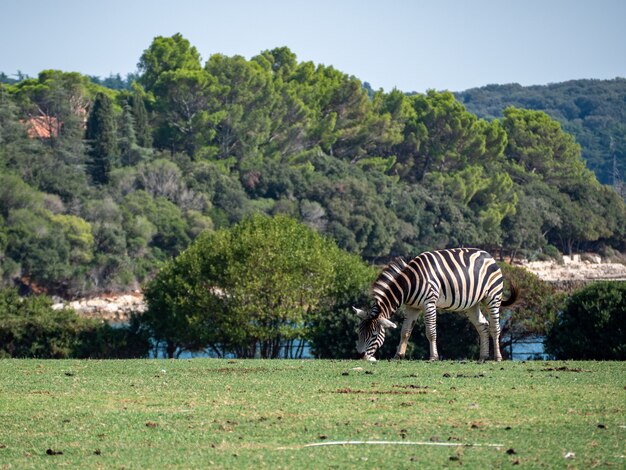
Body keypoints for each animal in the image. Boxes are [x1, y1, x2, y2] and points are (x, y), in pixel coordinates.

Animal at [354, 248, 516, 362]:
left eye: (374, 335)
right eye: (359, 333)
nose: (360, 356)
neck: (410, 284)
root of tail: (489, 255)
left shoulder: (429, 303)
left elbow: (431, 332)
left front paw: (433, 357)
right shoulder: (412, 307)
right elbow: (405, 331)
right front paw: (398, 355)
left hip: (492, 297)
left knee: (495, 327)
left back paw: (497, 358)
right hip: (472, 304)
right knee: (483, 325)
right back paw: (483, 357)